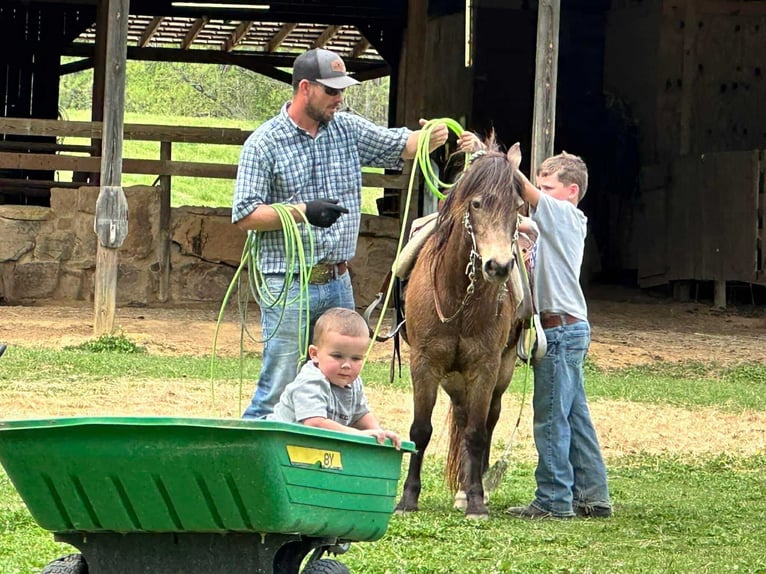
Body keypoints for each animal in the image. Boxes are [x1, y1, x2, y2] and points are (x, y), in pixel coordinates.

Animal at [395, 141, 529, 520]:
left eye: (517, 207)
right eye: (477, 203)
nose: (498, 266)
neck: (459, 295)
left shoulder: (484, 367)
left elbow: (477, 433)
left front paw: (476, 500)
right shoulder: (424, 364)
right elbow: (420, 430)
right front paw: (407, 498)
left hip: (501, 371)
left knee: (486, 421)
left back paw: (471, 488)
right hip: (452, 378)